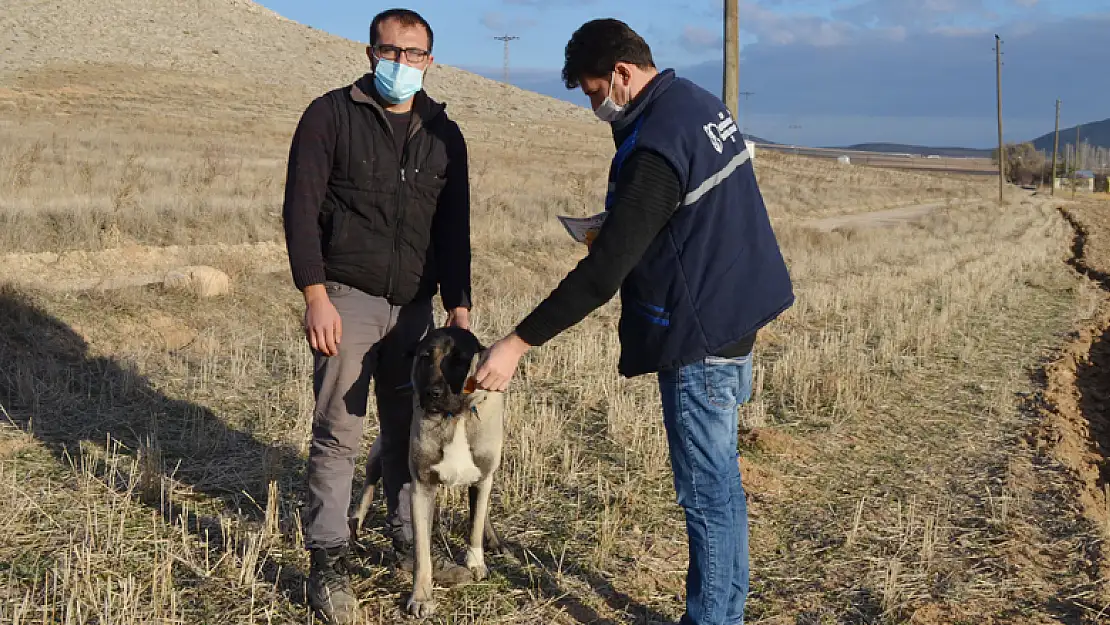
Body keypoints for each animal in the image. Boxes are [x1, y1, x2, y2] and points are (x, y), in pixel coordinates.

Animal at [348, 326, 506, 617]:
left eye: (459, 359)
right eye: (424, 357)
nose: (432, 393)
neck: (454, 416)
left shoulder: (483, 477)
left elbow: (476, 523)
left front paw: (476, 561)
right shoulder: (421, 488)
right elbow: (422, 553)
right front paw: (421, 597)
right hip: (382, 449)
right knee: (370, 482)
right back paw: (354, 526)